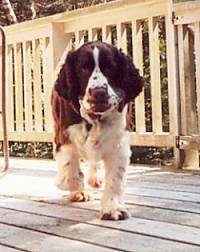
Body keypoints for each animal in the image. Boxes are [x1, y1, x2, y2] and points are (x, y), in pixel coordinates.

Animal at [50, 40, 143, 220]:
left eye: (111, 68)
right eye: (83, 68)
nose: (99, 92)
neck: (95, 118)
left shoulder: (118, 144)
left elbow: (115, 179)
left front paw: (113, 208)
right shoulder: (63, 136)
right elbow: (69, 169)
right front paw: (73, 185)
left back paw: (94, 179)